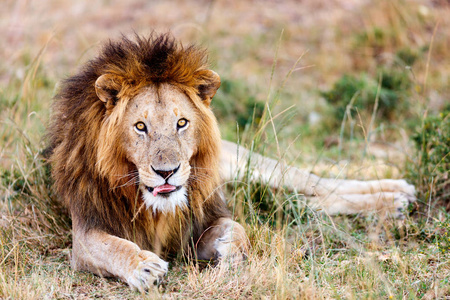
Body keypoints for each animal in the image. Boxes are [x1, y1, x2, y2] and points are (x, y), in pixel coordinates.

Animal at [47, 32, 416, 290]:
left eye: (182, 123)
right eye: (140, 126)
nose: (167, 172)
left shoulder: (202, 220)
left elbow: (238, 228)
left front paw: (232, 254)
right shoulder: (86, 230)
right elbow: (113, 246)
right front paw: (144, 266)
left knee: (321, 184)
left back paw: (396, 193)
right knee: (305, 202)